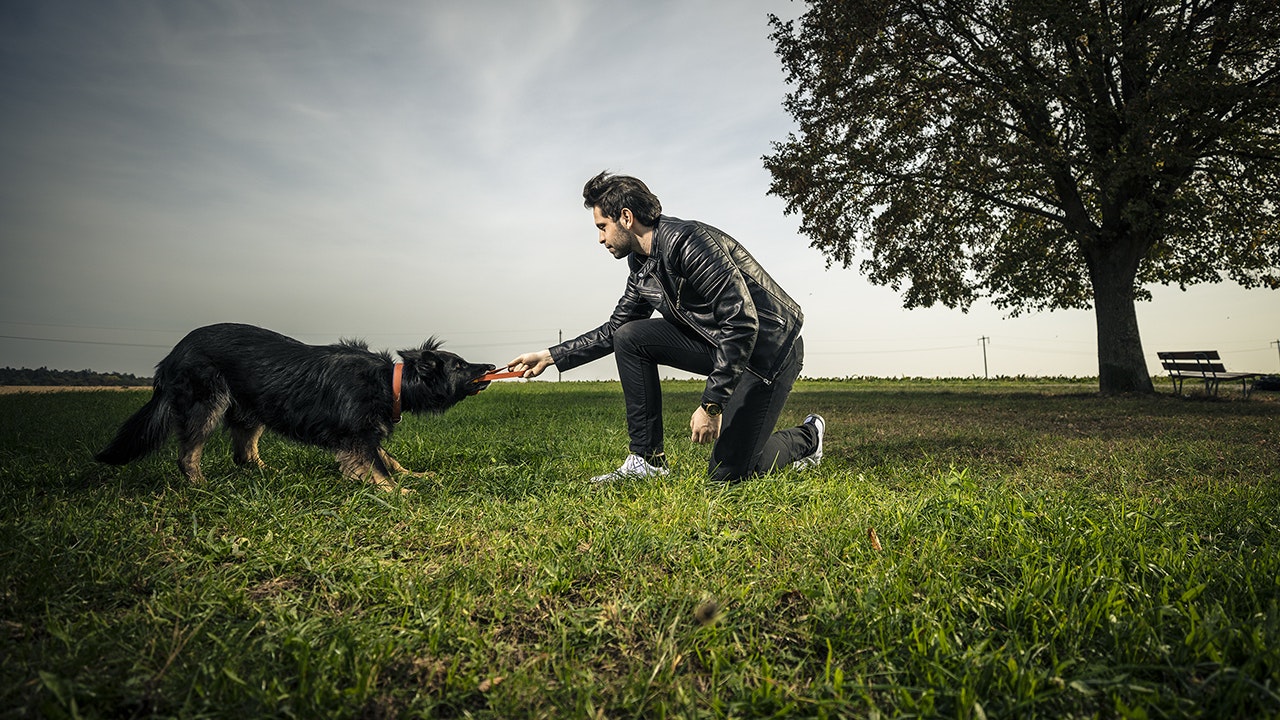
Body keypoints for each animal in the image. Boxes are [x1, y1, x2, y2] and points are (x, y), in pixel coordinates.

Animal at [93, 322, 494, 489]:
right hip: (207, 402)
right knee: (188, 455)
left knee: (244, 453)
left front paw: (414, 476)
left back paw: (269, 473)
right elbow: (378, 467)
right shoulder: (355, 435)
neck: (389, 380)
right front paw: (399, 493)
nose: (490, 366)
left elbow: (389, 459)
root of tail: (172, 354)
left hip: (251, 408)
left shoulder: (362, 433)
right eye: (459, 365)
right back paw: (202, 486)